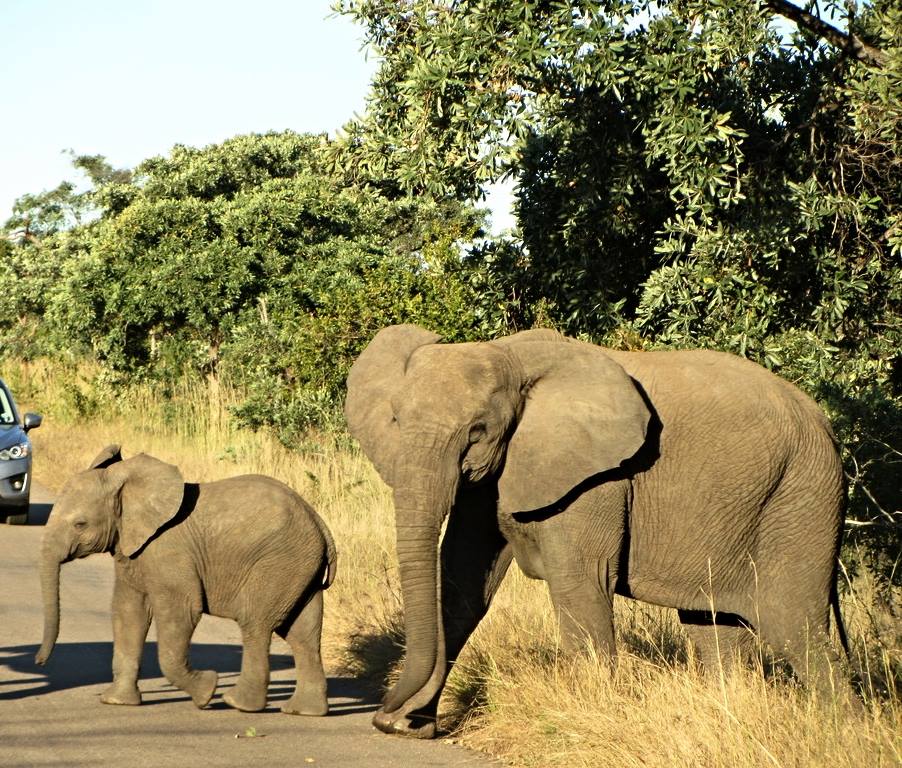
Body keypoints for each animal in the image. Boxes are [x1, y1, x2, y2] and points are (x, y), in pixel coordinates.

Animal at [36, 446, 336, 715]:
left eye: (80, 525)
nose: (39, 663)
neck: (125, 484)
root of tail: (319, 523)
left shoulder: (169, 553)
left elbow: (181, 612)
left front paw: (207, 692)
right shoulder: (133, 551)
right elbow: (128, 612)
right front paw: (117, 702)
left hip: (279, 562)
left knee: (256, 624)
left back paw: (237, 704)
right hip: (299, 567)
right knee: (303, 634)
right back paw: (304, 711)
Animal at [344, 324, 854, 738]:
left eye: (477, 430)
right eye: (395, 420)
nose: (385, 717)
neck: (508, 355)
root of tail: (827, 424)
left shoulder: (595, 479)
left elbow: (581, 583)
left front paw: (587, 722)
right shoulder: (493, 480)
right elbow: (463, 585)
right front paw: (414, 728)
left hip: (801, 498)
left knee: (796, 628)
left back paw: (839, 734)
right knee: (714, 627)